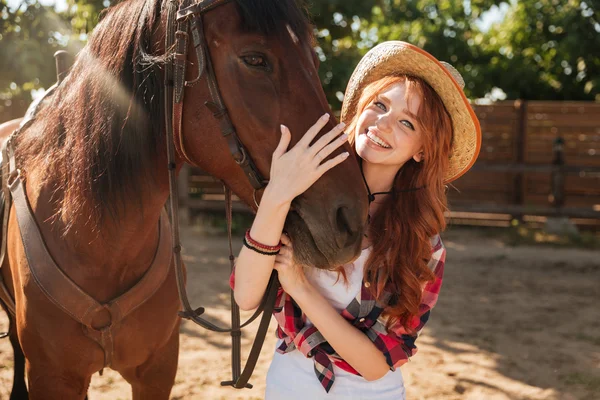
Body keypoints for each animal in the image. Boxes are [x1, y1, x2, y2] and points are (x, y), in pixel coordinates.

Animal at [0, 0, 368, 400]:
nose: (350, 216)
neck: (96, 243)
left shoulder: (157, 371)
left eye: (314, 61)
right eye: (254, 59)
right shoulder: (53, 377)